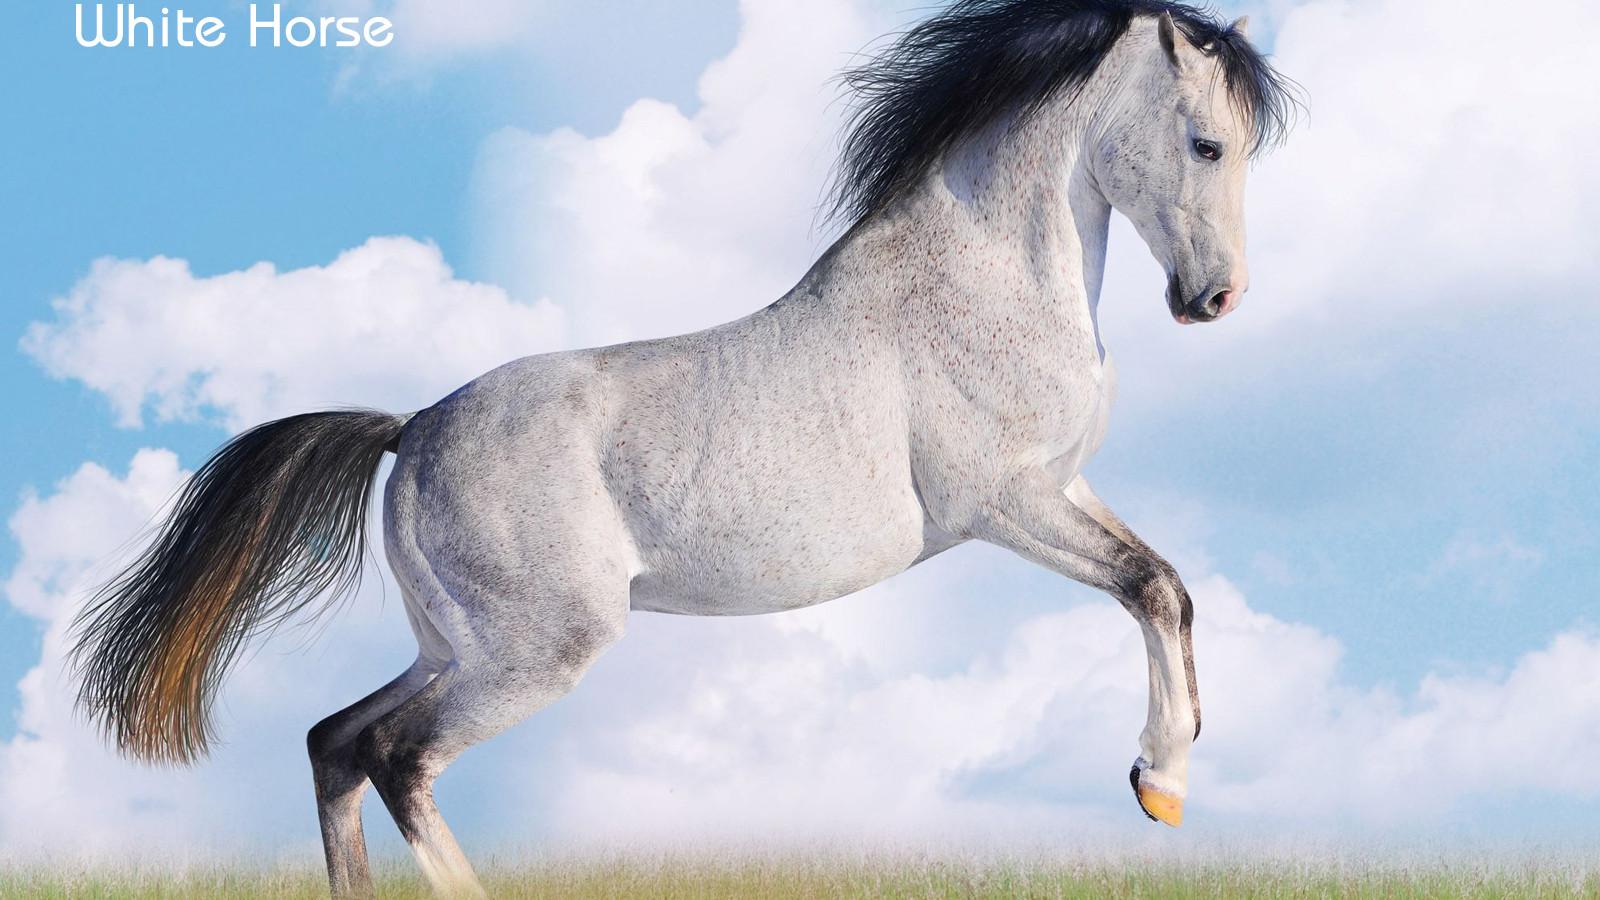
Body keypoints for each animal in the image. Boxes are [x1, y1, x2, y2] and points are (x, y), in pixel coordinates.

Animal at [71, 1, 1296, 896]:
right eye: (1206, 143)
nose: (1215, 300)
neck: (978, 280)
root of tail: (411, 430)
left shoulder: (1064, 488)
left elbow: (1172, 587)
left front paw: (1164, 781)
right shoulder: (1003, 504)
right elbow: (1149, 586)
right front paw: (1159, 781)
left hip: (456, 644)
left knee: (335, 739)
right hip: (535, 652)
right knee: (396, 758)